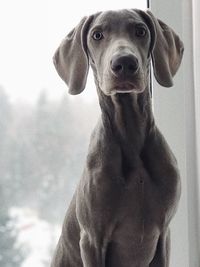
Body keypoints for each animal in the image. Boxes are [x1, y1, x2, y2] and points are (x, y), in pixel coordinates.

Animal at [50, 8, 184, 267]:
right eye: (97, 35)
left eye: (140, 31)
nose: (124, 63)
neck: (129, 132)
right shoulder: (92, 240)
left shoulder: (164, 233)